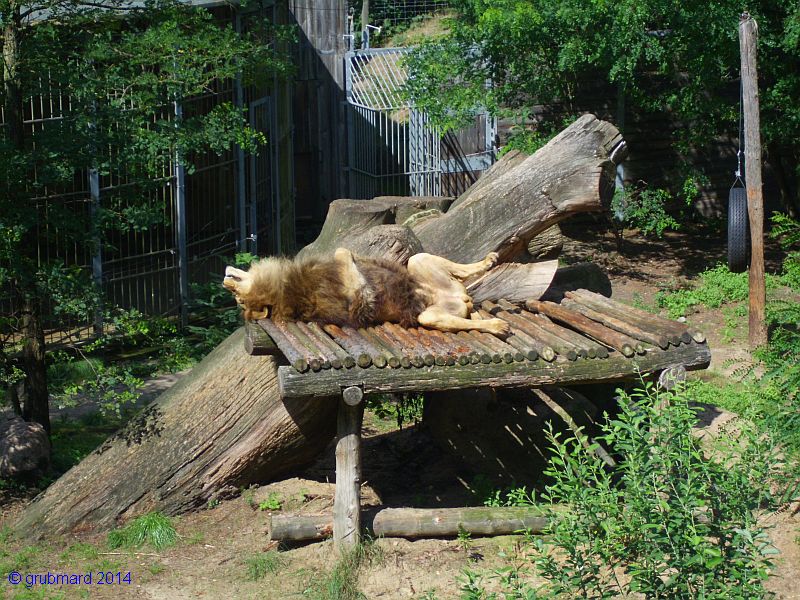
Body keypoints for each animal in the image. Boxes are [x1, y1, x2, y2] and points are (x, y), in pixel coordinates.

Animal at [223, 246, 512, 336]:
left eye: (238, 298)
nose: (225, 283)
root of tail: (461, 298)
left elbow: (345, 253)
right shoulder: (354, 294)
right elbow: (344, 255)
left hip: (417, 261)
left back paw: (488, 261)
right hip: (427, 316)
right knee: (467, 319)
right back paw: (498, 325)